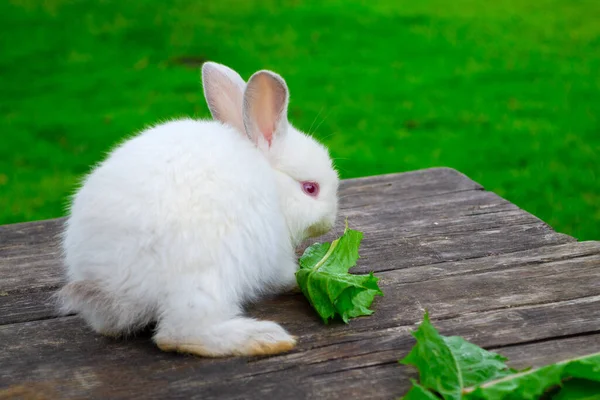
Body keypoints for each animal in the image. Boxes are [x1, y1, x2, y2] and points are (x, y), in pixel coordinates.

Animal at [58, 62, 340, 356]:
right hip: (205, 278)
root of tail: (109, 284)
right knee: (177, 334)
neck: (273, 184)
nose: (330, 220)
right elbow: (285, 274)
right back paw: (264, 338)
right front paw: (300, 278)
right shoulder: (274, 253)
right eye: (310, 188)